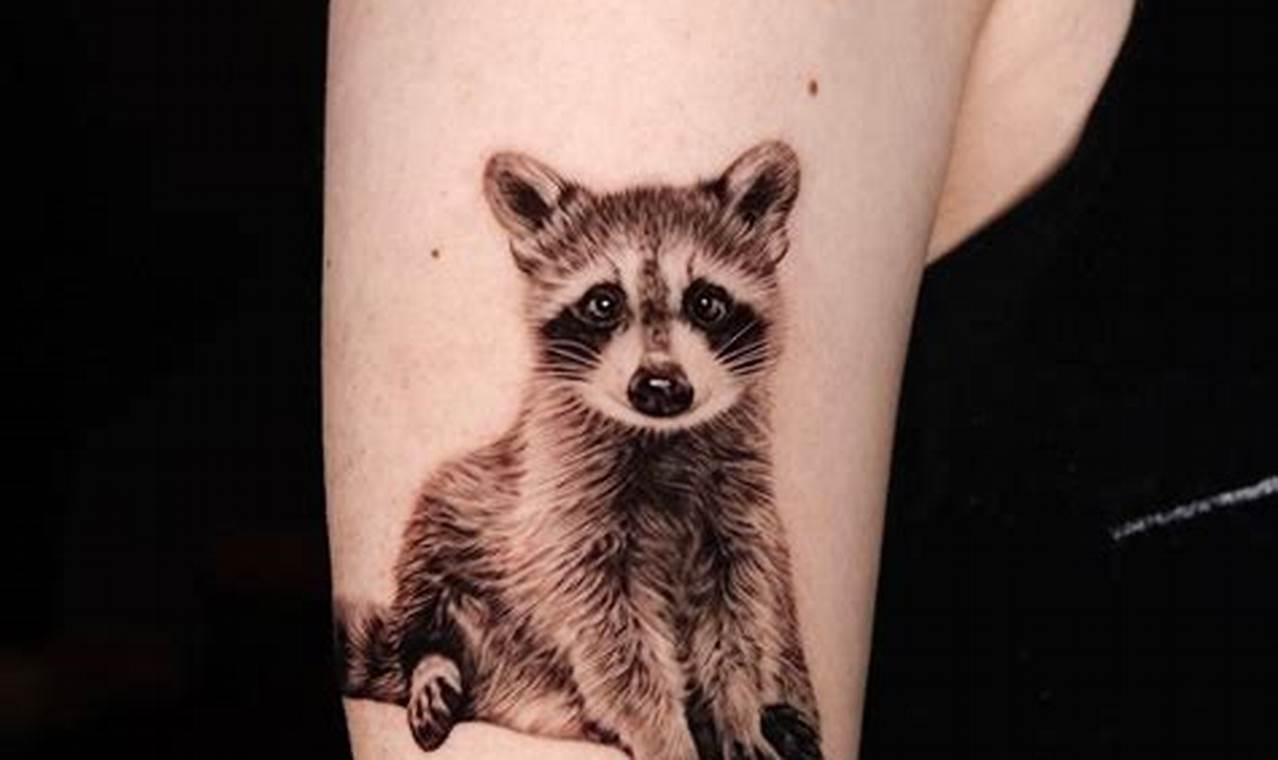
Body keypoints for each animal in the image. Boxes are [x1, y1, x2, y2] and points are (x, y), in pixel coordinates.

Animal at [335, 141, 822, 760]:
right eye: (603, 303)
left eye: (707, 302)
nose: (659, 386)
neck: (663, 439)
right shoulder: (559, 508)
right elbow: (612, 642)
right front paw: (666, 738)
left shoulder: (740, 515)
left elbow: (739, 623)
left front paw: (738, 714)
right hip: (457, 517)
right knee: (426, 592)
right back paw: (434, 663)